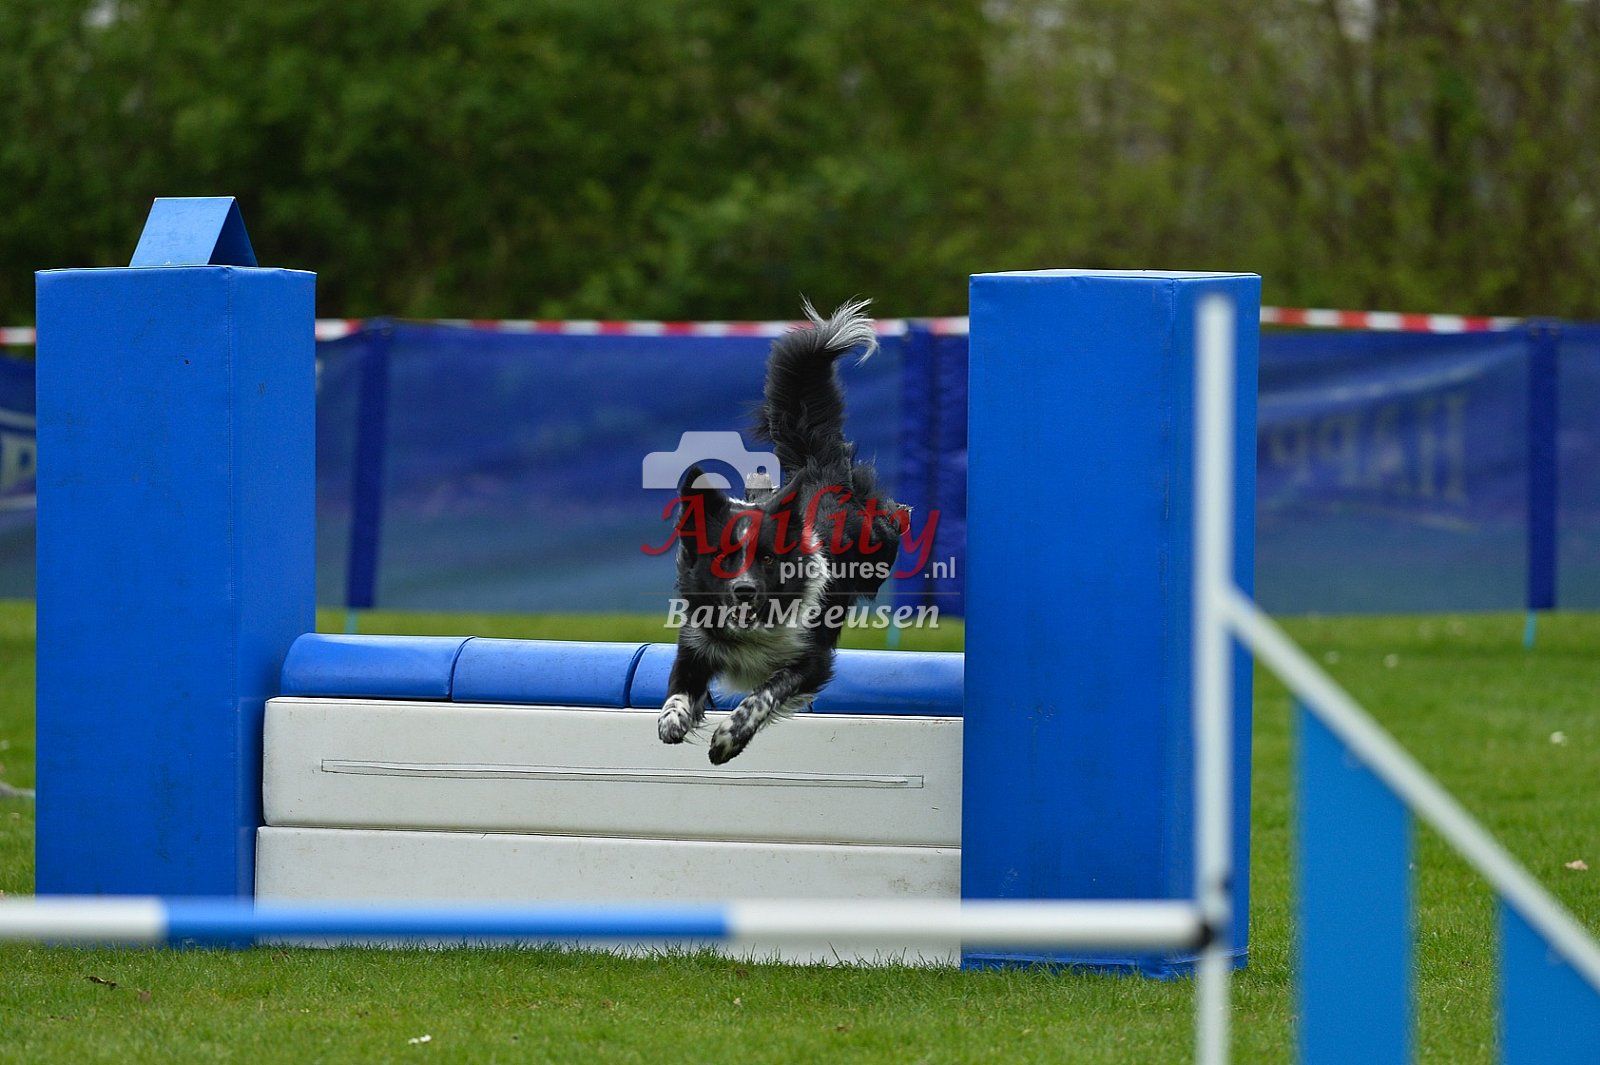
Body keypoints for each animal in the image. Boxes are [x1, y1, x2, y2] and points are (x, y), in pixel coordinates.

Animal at [657, 298, 904, 763]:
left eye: (769, 556)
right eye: (721, 557)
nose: (744, 590)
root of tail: (818, 469)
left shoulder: (811, 659)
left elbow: (766, 692)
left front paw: (729, 737)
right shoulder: (694, 644)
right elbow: (679, 688)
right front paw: (672, 720)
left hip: (876, 547)